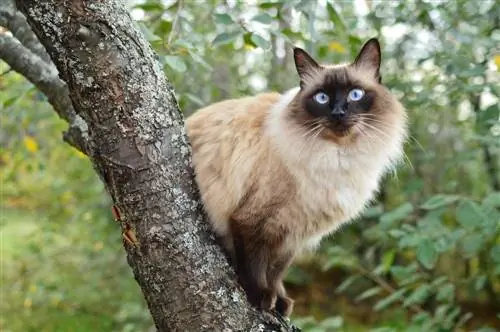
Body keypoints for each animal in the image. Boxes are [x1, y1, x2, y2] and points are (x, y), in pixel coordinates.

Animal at [186, 37, 408, 316]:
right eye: (322, 98)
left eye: (355, 94)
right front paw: (260, 297)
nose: (338, 113)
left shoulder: (292, 232)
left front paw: (279, 301)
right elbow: (256, 265)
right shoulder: (253, 221)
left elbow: (277, 271)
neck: (337, 158)